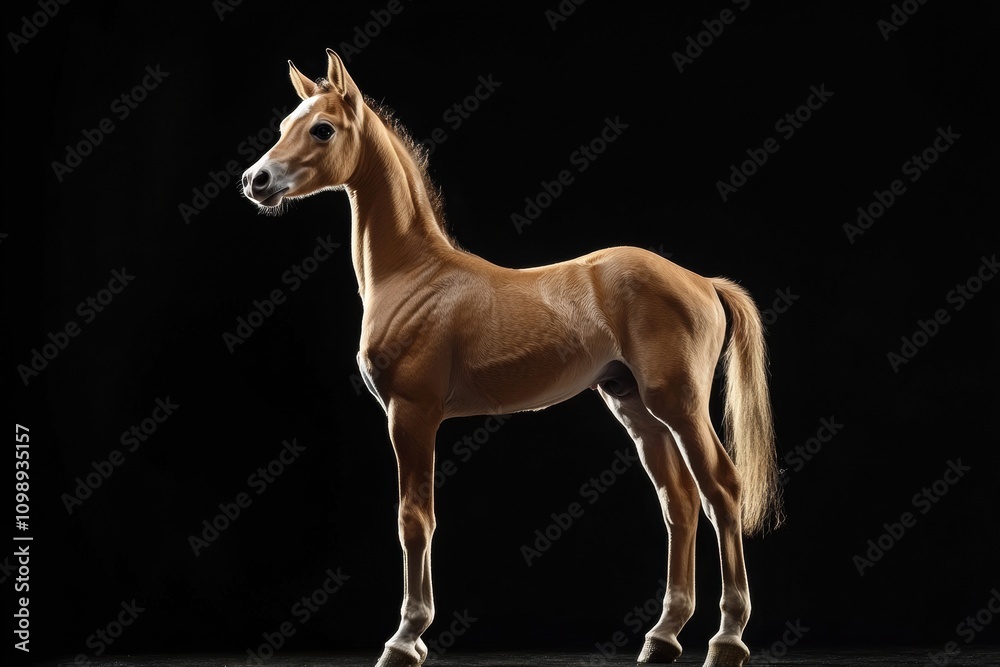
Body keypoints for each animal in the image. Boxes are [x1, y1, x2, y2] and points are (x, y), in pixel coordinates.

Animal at [241, 48, 783, 667]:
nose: (256, 180)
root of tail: (703, 281)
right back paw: (662, 636)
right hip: (636, 408)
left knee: (722, 489)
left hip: (680, 404)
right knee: (681, 502)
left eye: (322, 129)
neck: (415, 275)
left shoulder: (411, 414)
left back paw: (728, 638)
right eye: (284, 125)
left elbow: (414, 519)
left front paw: (405, 638)